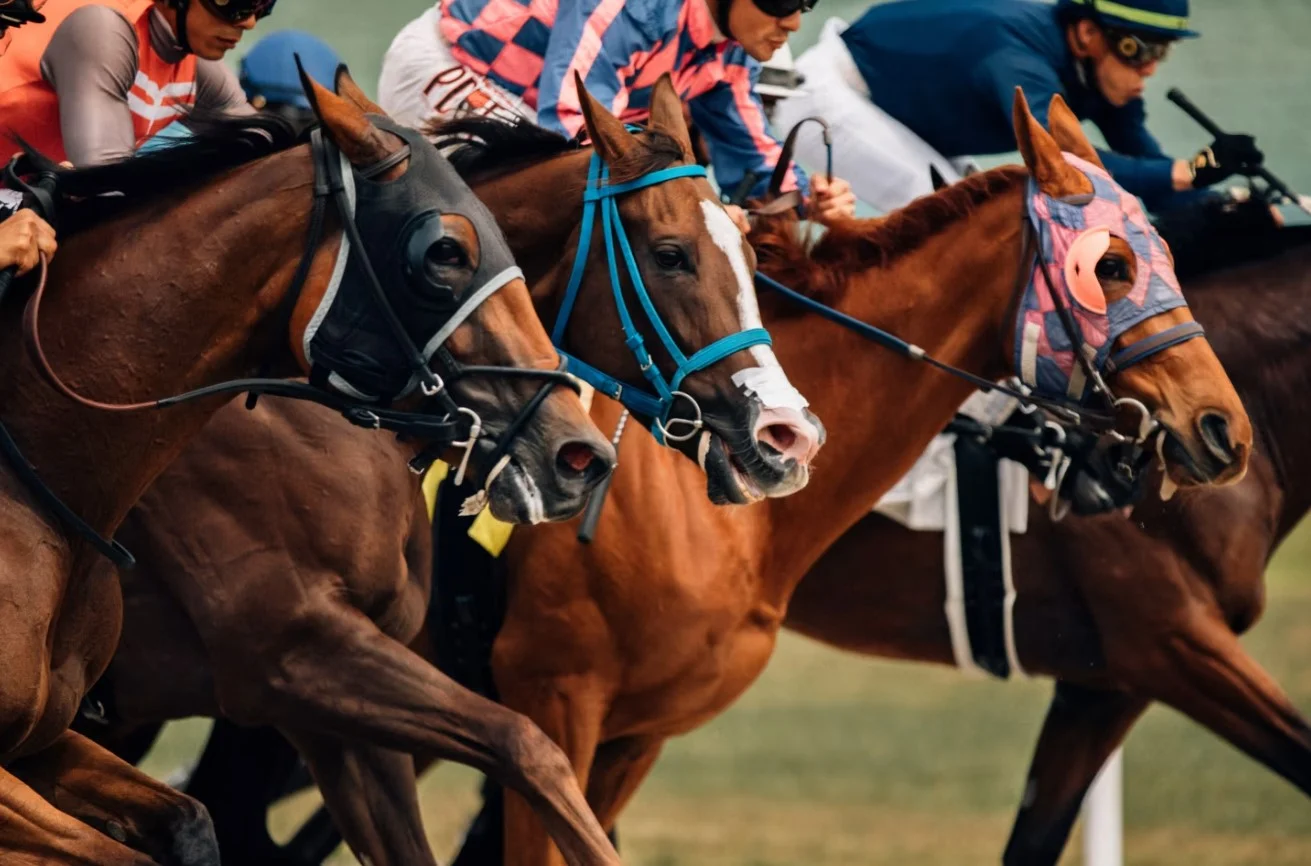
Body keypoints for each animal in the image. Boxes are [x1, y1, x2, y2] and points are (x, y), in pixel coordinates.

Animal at [74, 71, 823, 866]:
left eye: (752, 257)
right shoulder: (293, 652)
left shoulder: (332, 705)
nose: (786, 434)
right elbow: (529, 754)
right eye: (671, 254)